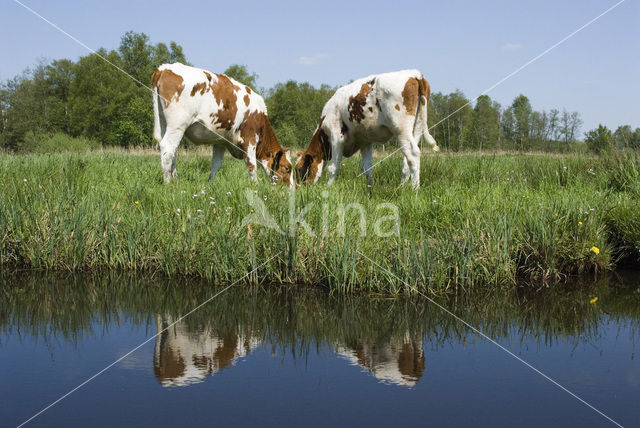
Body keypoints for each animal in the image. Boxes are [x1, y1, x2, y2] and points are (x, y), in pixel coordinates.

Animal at [151, 62, 294, 186]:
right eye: (287, 168)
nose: (293, 188)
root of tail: (163, 68)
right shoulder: (250, 139)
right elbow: (252, 165)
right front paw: (256, 187)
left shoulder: (220, 141)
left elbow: (216, 164)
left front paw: (210, 184)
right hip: (178, 124)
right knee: (168, 148)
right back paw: (168, 183)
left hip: (164, 123)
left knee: (171, 150)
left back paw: (176, 180)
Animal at [296, 70, 440, 187]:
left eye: (299, 168)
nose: (299, 188)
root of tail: (415, 74)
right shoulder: (365, 141)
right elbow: (367, 168)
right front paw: (369, 188)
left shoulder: (337, 137)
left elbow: (333, 167)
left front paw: (329, 187)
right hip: (416, 128)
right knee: (407, 159)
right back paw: (401, 187)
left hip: (401, 129)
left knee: (413, 155)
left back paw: (414, 190)